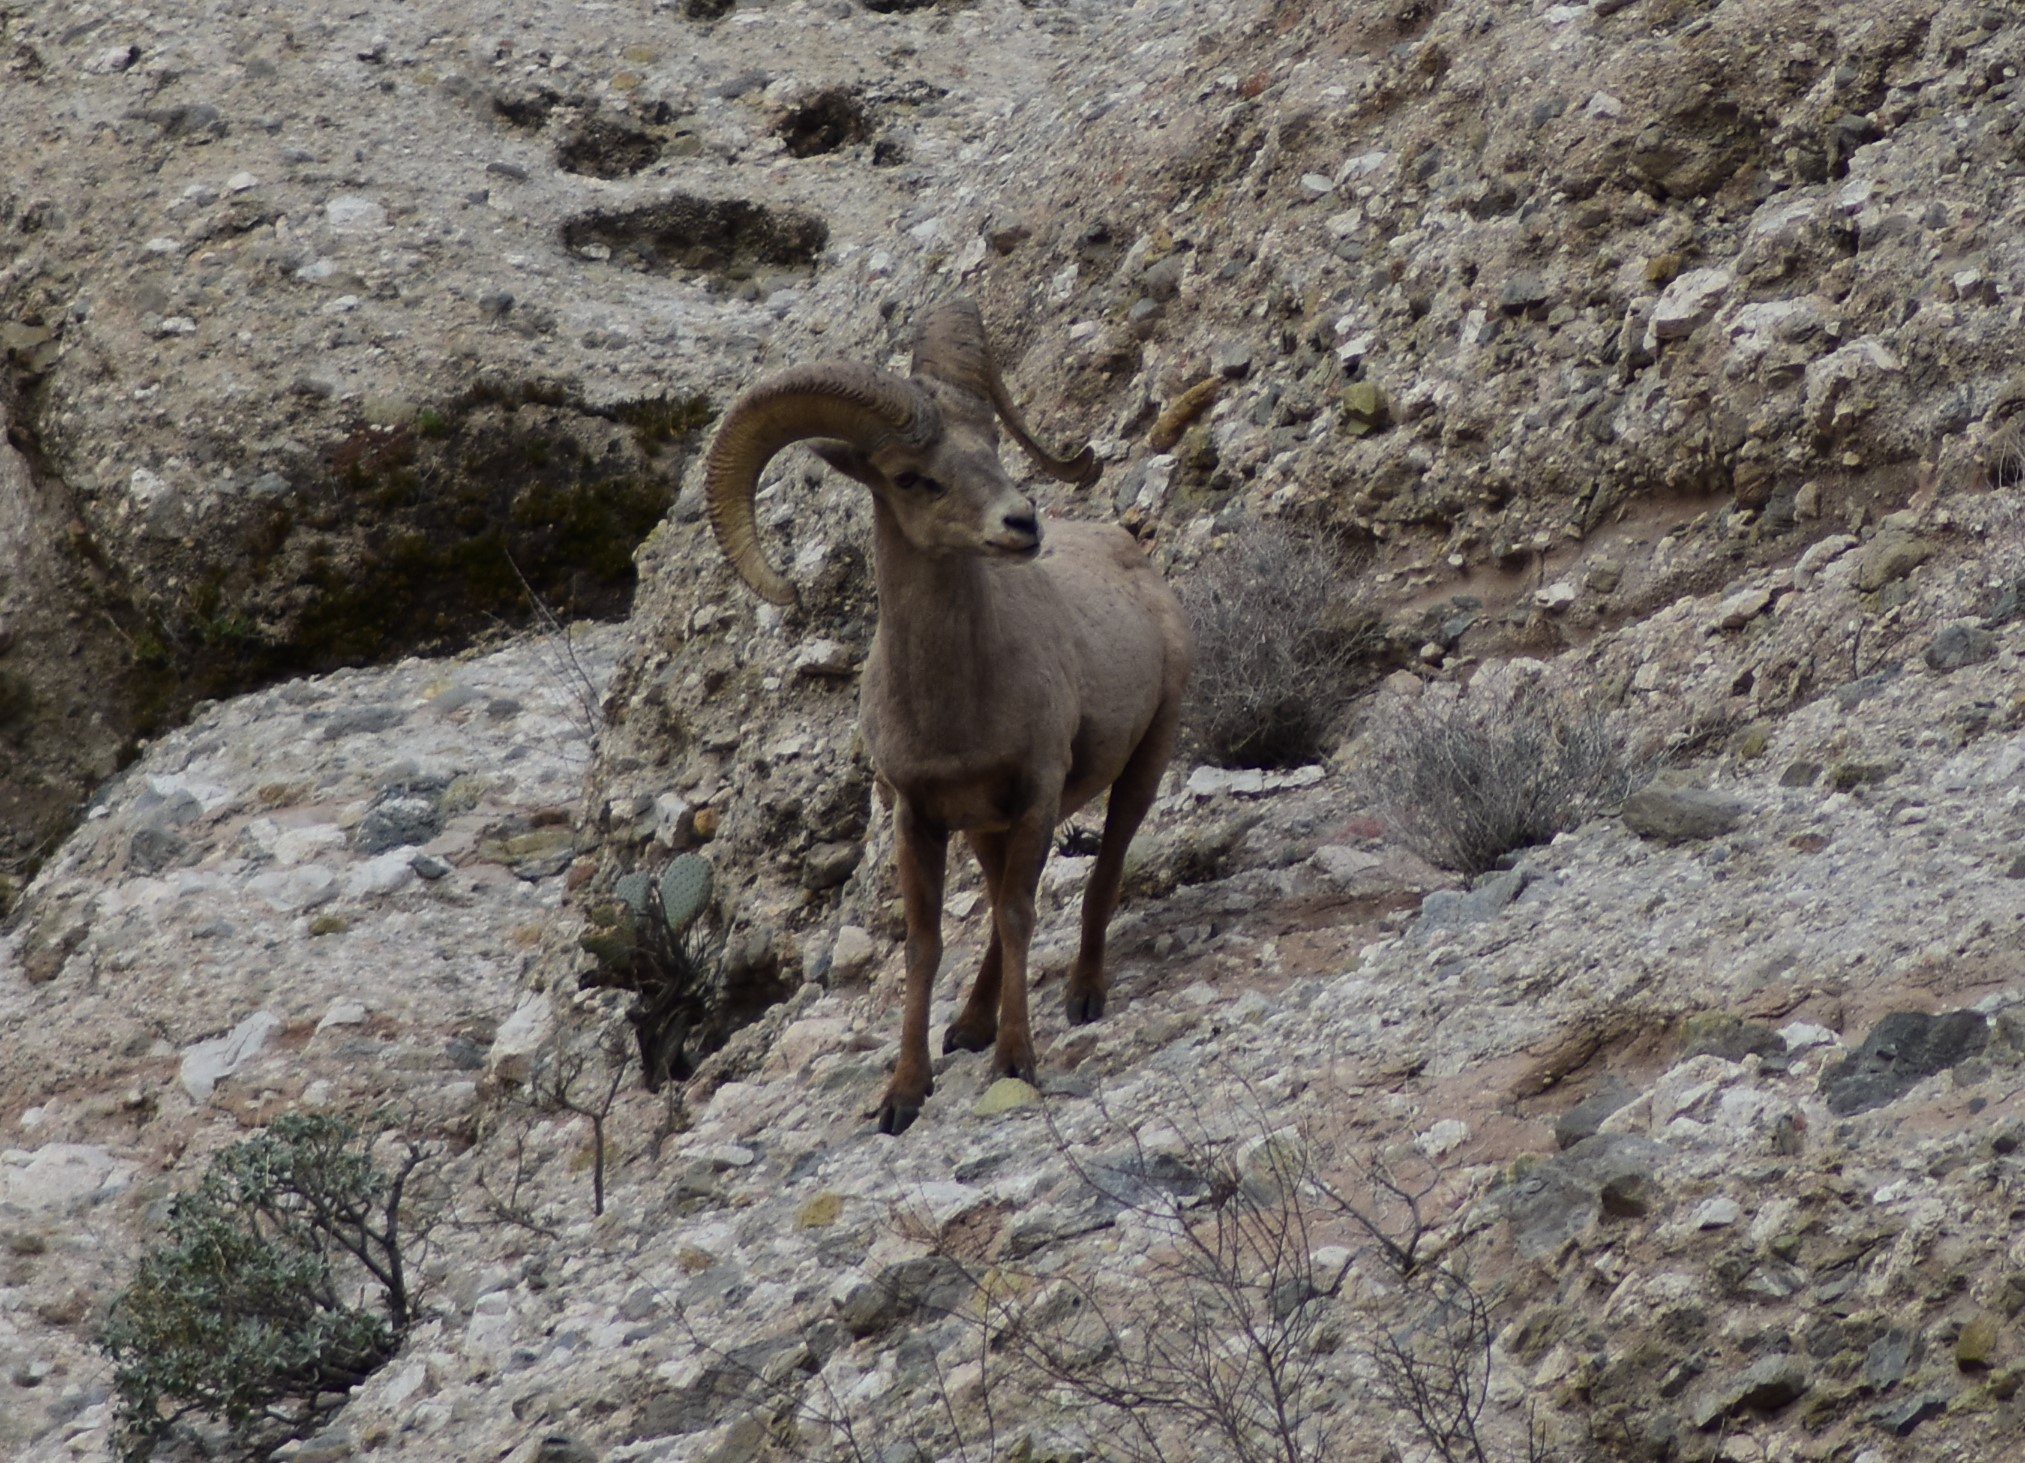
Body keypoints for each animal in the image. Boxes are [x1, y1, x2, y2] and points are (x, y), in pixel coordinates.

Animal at [701, 297, 1192, 1134]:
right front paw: (903, 1092)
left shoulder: (1035, 793)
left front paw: (1016, 1061)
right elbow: (927, 945)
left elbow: (1020, 915)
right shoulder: (920, 816)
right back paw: (966, 1025)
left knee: (1103, 865)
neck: (952, 711)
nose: (1022, 525)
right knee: (995, 902)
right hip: (990, 829)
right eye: (911, 477)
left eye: (990, 447)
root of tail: (1129, 553)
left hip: (1140, 762)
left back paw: (1082, 994)